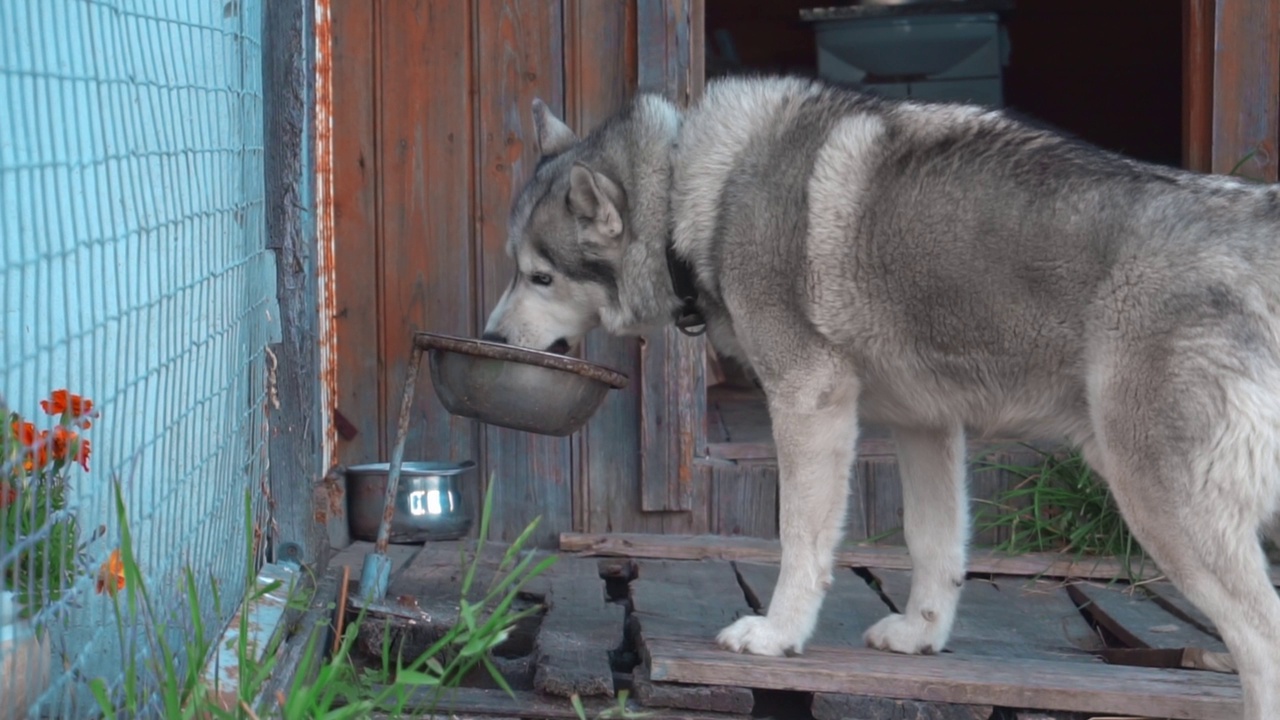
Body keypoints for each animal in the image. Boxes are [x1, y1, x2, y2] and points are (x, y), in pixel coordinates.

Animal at [481, 75, 1280, 712]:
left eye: (540, 277)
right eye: (514, 268)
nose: (490, 336)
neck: (690, 190)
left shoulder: (810, 400)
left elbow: (801, 540)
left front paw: (778, 634)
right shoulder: (926, 427)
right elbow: (934, 544)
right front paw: (921, 636)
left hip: (1161, 502)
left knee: (1261, 641)